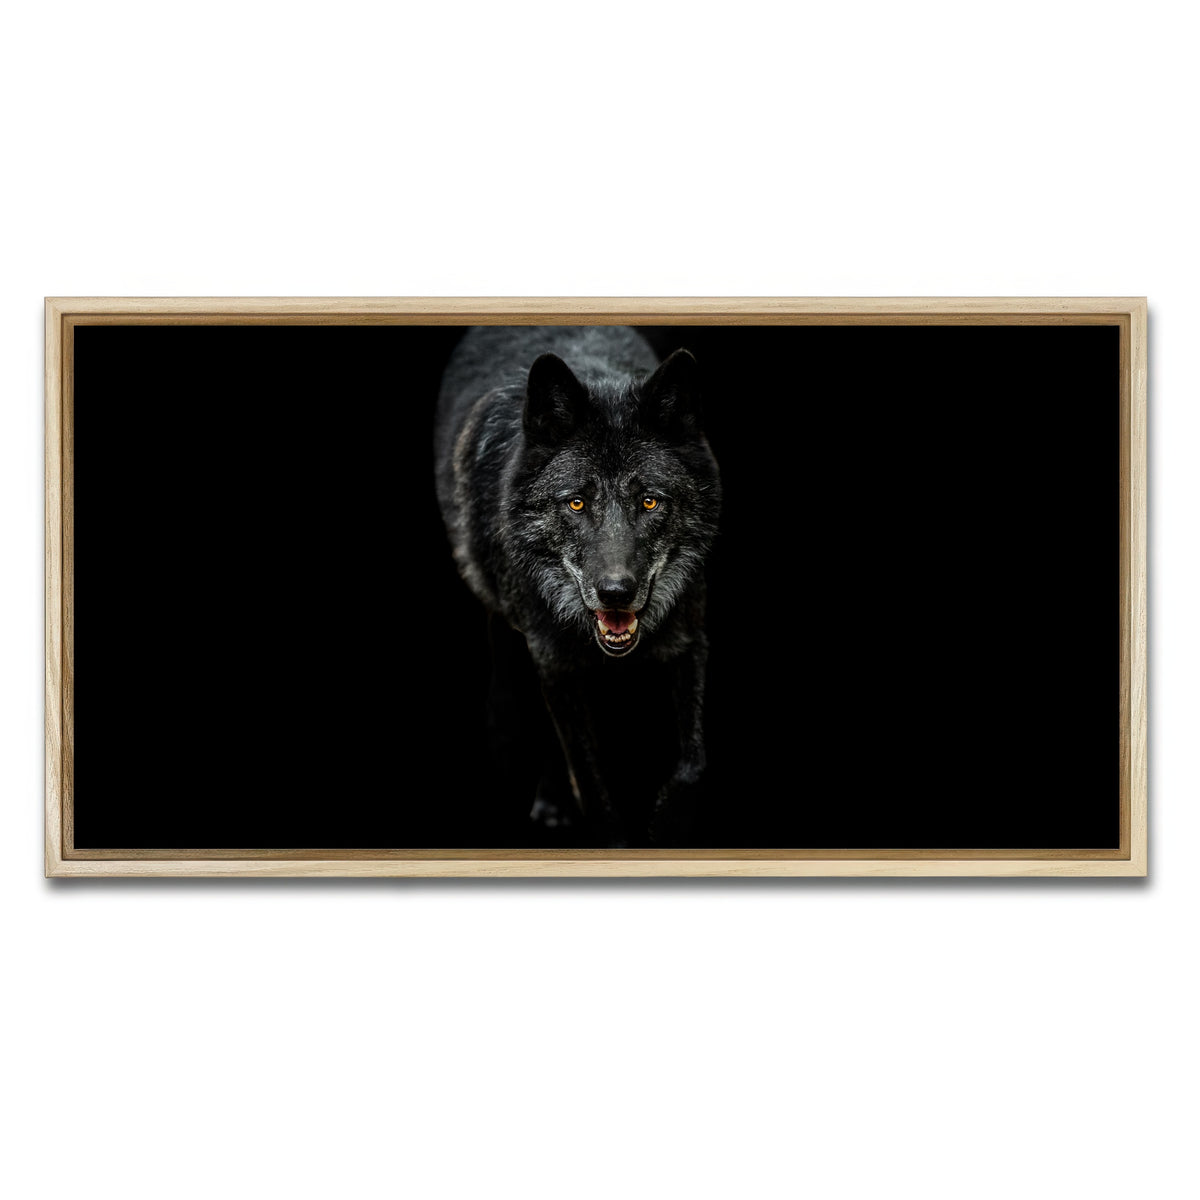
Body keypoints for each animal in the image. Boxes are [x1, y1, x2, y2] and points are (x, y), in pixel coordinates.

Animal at [434, 326, 721, 846]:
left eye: (649, 501)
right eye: (576, 503)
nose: (616, 592)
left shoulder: (691, 639)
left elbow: (694, 763)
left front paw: (668, 826)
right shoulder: (553, 662)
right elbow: (589, 783)